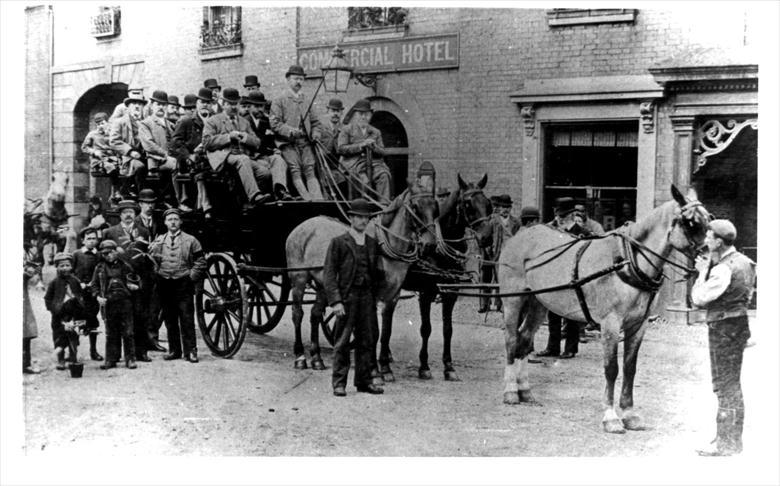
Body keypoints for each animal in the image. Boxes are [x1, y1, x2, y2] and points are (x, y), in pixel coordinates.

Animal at [284, 180, 438, 370]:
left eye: (435, 207)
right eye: (415, 207)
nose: (430, 245)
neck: (385, 247)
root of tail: (302, 226)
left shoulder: (393, 296)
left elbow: (386, 331)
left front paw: (385, 366)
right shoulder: (371, 294)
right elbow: (374, 331)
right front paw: (374, 367)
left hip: (324, 284)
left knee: (315, 314)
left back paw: (317, 358)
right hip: (298, 278)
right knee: (297, 313)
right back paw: (300, 356)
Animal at [380, 175, 494, 384]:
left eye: (488, 204)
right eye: (468, 204)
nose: (487, 238)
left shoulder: (451, 292)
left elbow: (448, 329)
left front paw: (449, 367)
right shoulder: (426, 293)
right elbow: (426, 328)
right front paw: (424, 367)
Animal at [496, 185, 708, 432]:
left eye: (709, 218)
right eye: (689, 222)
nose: (709, 254)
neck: (627, 260)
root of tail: (520, 236)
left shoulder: (639, 325)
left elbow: (630, 368)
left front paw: (629, 414)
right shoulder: (610, 323)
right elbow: (611, 368)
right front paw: (611, 417)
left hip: (539, 303)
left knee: (524, 339)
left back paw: (525, 392)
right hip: (514, 300)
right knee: (511, 340)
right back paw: (510, 392)